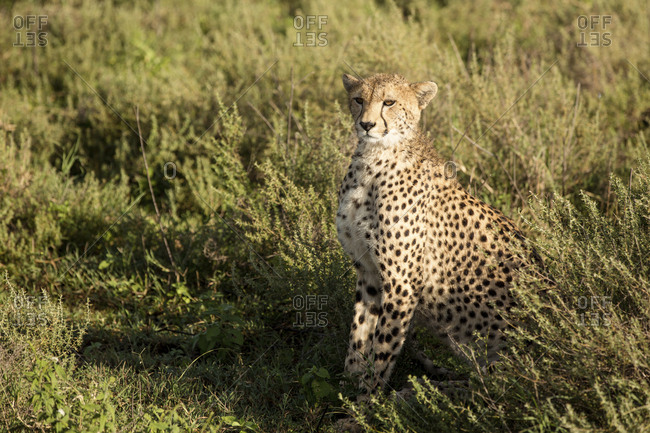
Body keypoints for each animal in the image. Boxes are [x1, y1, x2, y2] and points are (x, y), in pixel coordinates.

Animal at [336, 72, 539, 402]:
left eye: (389, 102)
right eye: (358, 99)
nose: (366, 124)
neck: (373, 158)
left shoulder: (402, 281)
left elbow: (383, 346)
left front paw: (368, 400)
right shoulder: (368, 272)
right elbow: (359, 335)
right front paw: (346, 389)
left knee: (495, 391)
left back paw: (422, 393)